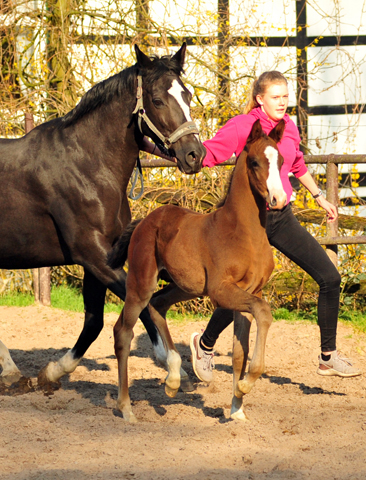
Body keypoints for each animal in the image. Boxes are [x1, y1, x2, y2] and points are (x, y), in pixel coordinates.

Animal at [0, 43, 206, 390]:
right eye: (157, 100)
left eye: (188, 95)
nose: (194, 154)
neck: (87, 165)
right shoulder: (93, 256)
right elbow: (143, 304)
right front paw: (173, 367)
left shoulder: (98, 261)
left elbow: (94, 321)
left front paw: (52, 372)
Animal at [110, 118, 288, 422]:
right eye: (254, 162)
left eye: (282, 160)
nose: (279, 198)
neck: (245, 233)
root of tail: (145, 220)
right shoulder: (221, 291)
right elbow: (264, 313)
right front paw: (246, 384)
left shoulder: (249, 293)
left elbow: (240, 351)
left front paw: (237, 407)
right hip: (141, 282)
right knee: (123, 330)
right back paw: (126, 408)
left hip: (184, 286)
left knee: (158, 305)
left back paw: (173, 379)